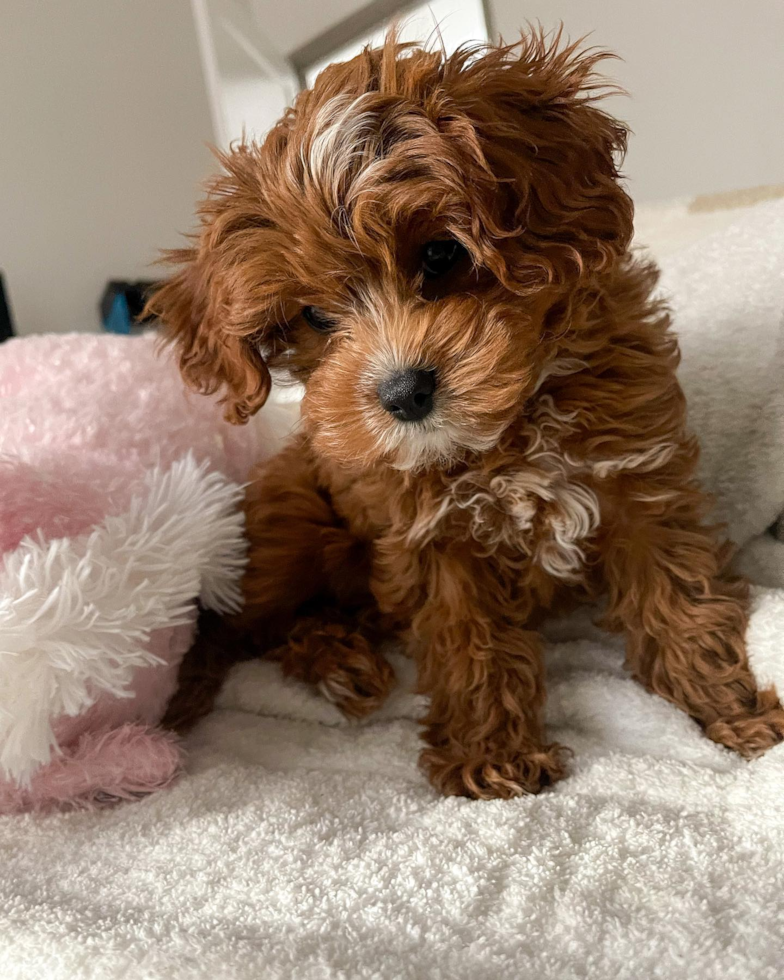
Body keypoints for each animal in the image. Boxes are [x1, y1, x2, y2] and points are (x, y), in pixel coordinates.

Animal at [152, 32, 784, 796]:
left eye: (440, 254)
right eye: (312, 318)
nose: (402, 394)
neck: (509, 428)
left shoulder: (640, 483)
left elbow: (678, 600)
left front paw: (730, 712)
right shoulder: (429, 538)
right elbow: (466, 642)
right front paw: (491, 757)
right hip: (289, 525)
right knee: (245, 628)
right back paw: (304, 671)